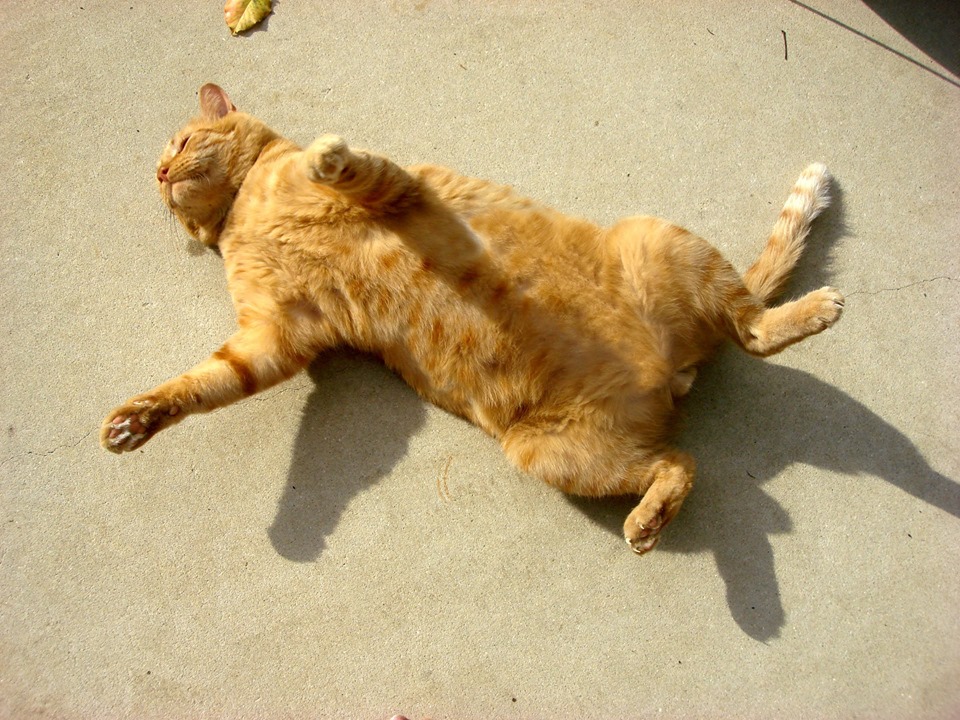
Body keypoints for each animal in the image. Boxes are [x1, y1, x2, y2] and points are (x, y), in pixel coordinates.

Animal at [101, 83, 843, 553]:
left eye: (184, 141)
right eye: (163, 169)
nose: (162, 174)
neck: (245, 211)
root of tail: (670, 369)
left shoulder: (395, 193)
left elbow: (351, 166)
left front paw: (325, 154)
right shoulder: (275, 334)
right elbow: (207, 382)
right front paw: (137, 422)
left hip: (658, 239)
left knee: (755, 332)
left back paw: (816, 310)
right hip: (557, 455)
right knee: (681, 463)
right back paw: (647, 523)